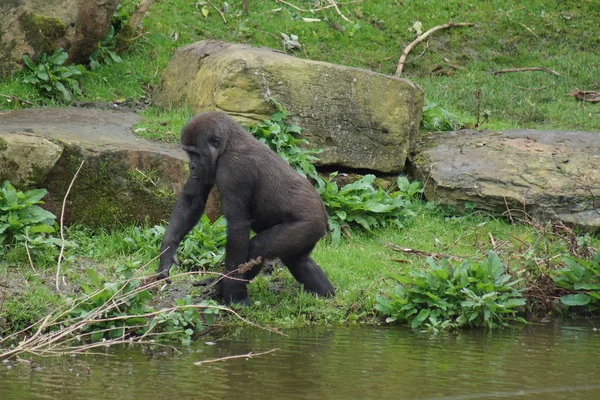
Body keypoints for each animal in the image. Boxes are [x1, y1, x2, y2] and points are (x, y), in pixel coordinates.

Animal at [155, 111, 336, 304]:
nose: (192, 166)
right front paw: (167, 252)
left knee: (258, 248)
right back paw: (325, 293)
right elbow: (192, 201)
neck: (228, 143)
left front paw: (235, 294)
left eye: (195, 153)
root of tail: (324, 216)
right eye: (188, 153)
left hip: (308, 224)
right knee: (298, 260)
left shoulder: (235, 170)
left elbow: (237, 226)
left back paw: (221, 286)